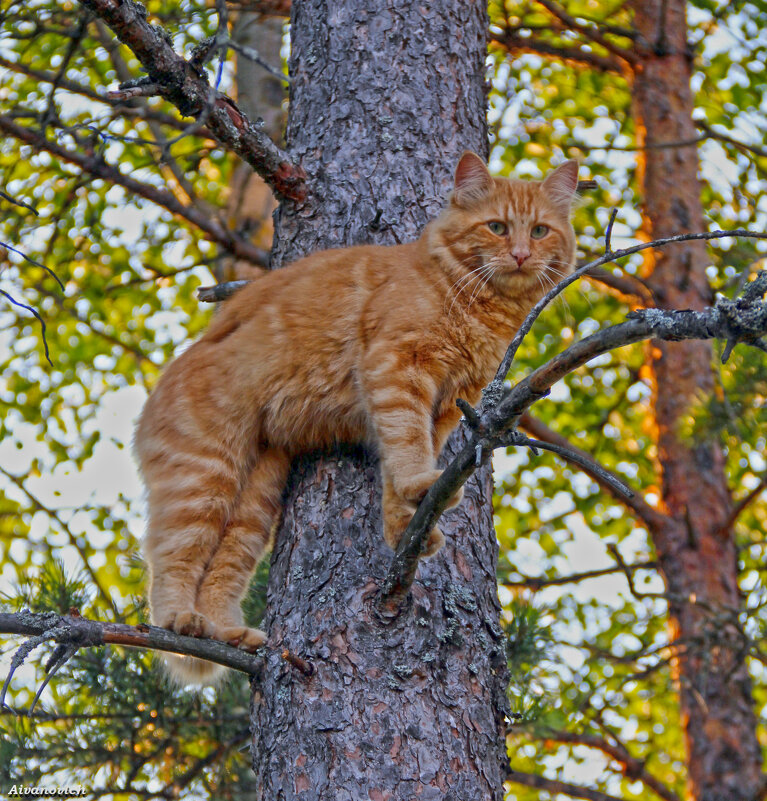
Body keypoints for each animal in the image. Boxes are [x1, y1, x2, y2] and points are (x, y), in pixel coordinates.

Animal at [135, 153, 576, 684]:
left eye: (540, 231)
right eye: (497, 227)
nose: (520, 254)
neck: (477, 306)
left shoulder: (448, 406)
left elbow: (404, 462)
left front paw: (404, 527)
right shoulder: (398, 369)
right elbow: (405, 444)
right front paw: (416, 489)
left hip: (254, 502)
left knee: (220, 572)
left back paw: (227, 634)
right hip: (206, 480)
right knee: (172, 561)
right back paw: (180, 622)